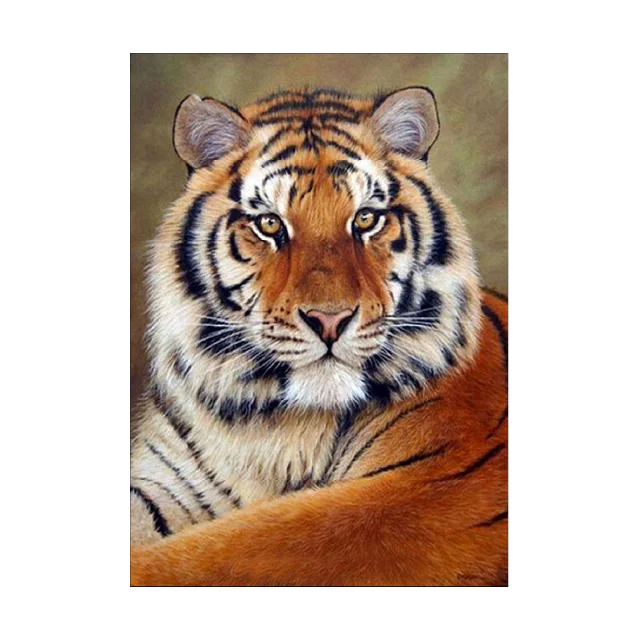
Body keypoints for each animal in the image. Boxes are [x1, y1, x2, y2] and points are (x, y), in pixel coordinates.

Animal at [129, 86, 510, 587]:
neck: (271, 426)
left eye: (366, 219)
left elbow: (223, 550)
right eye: (270, 224)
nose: (329, 320)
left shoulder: (425, 491)